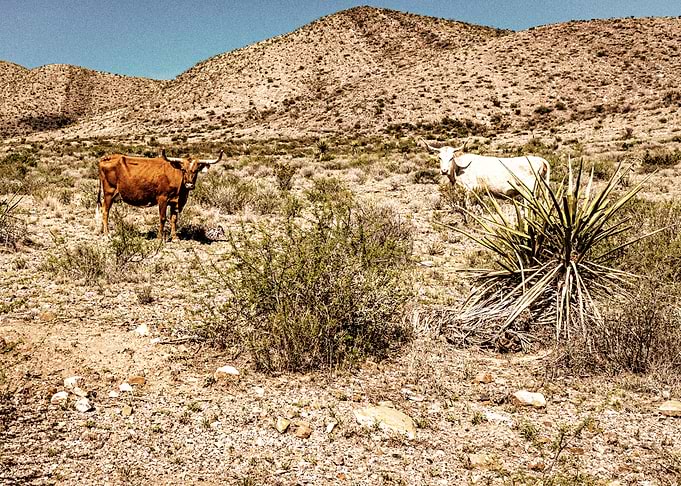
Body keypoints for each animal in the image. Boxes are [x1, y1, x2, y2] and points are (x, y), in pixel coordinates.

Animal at [420, 139, 550, 197]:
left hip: (529, 191)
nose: (444, 171)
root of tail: (540, 159)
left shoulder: (469, 189)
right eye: (439, 157)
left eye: (451, 157)